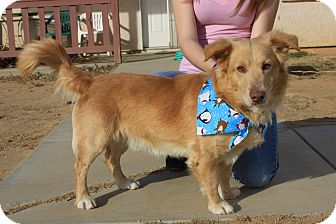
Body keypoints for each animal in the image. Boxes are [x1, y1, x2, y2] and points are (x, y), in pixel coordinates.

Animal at [17, 30, 298, 214]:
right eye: (240, 69)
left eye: (267, 66)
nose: (258, 95)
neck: (228, 104)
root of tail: (93, 81)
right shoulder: (204, 157)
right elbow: (210, 181)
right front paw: (218, 205)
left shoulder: (227, 154)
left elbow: (225, 176)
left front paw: (227, 193)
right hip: (93, 140)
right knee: (80, 168)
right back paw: (84, 198)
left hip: (121, 138)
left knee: (111, 160)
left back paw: (124, 182)